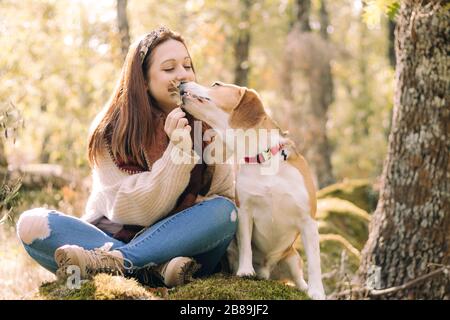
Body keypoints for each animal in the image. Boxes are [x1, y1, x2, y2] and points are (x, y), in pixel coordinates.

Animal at [179, 80, 326, 300]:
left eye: (216, 84)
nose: (181, 82)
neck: (263, 158)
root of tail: (267, 271)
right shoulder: (244, 212)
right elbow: (246, 245)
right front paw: (245, 271)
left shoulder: (308, 221)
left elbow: (315, 261)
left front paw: (317, 291)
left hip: (293, 258)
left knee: (298, 278)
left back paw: (305, 287)